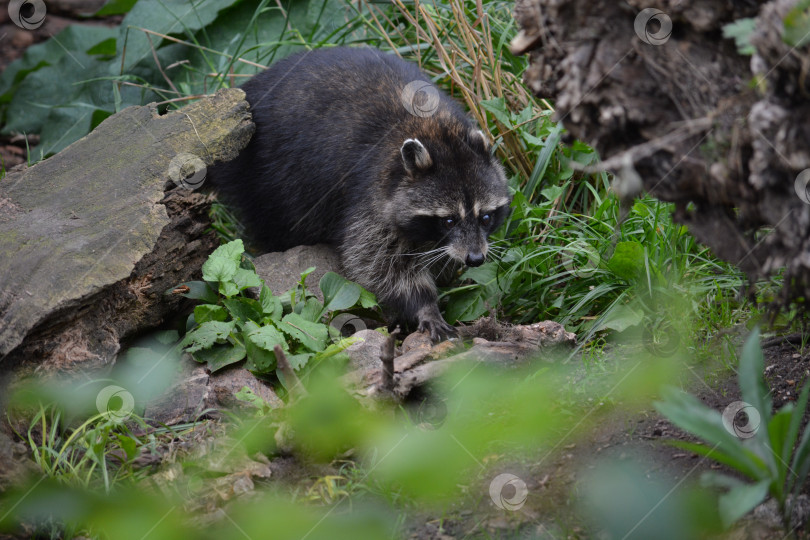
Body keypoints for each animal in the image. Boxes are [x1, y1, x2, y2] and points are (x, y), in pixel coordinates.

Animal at [211, 47, 508, 342]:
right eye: (448, 221)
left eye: (485, 217)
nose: (475, 259)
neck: (436, 130)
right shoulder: (371, 197)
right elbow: (375, 262)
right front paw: (424, 303)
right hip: (266, 178)